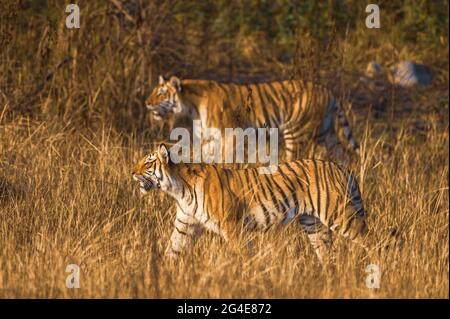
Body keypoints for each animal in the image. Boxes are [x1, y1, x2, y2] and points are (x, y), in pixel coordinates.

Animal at [132, 144, 370, 264]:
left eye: (148, 162)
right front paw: (164, 275)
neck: (178, 190)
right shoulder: (185, 225)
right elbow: (172, 250)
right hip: (314, 224)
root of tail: (341, 167)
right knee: (328, 255)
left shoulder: (232, 226)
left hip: (340, 215)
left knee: (372, 239)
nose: (132, 172)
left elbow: (241, 255)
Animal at [146, 76, 360, 164]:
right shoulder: (208, 139)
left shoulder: (230, 135)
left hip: (297, 132)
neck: (192, 107)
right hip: (327, 133)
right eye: (154, 91)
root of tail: (328, 91)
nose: (147, 103)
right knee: (342, 154)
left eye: (161, 93)